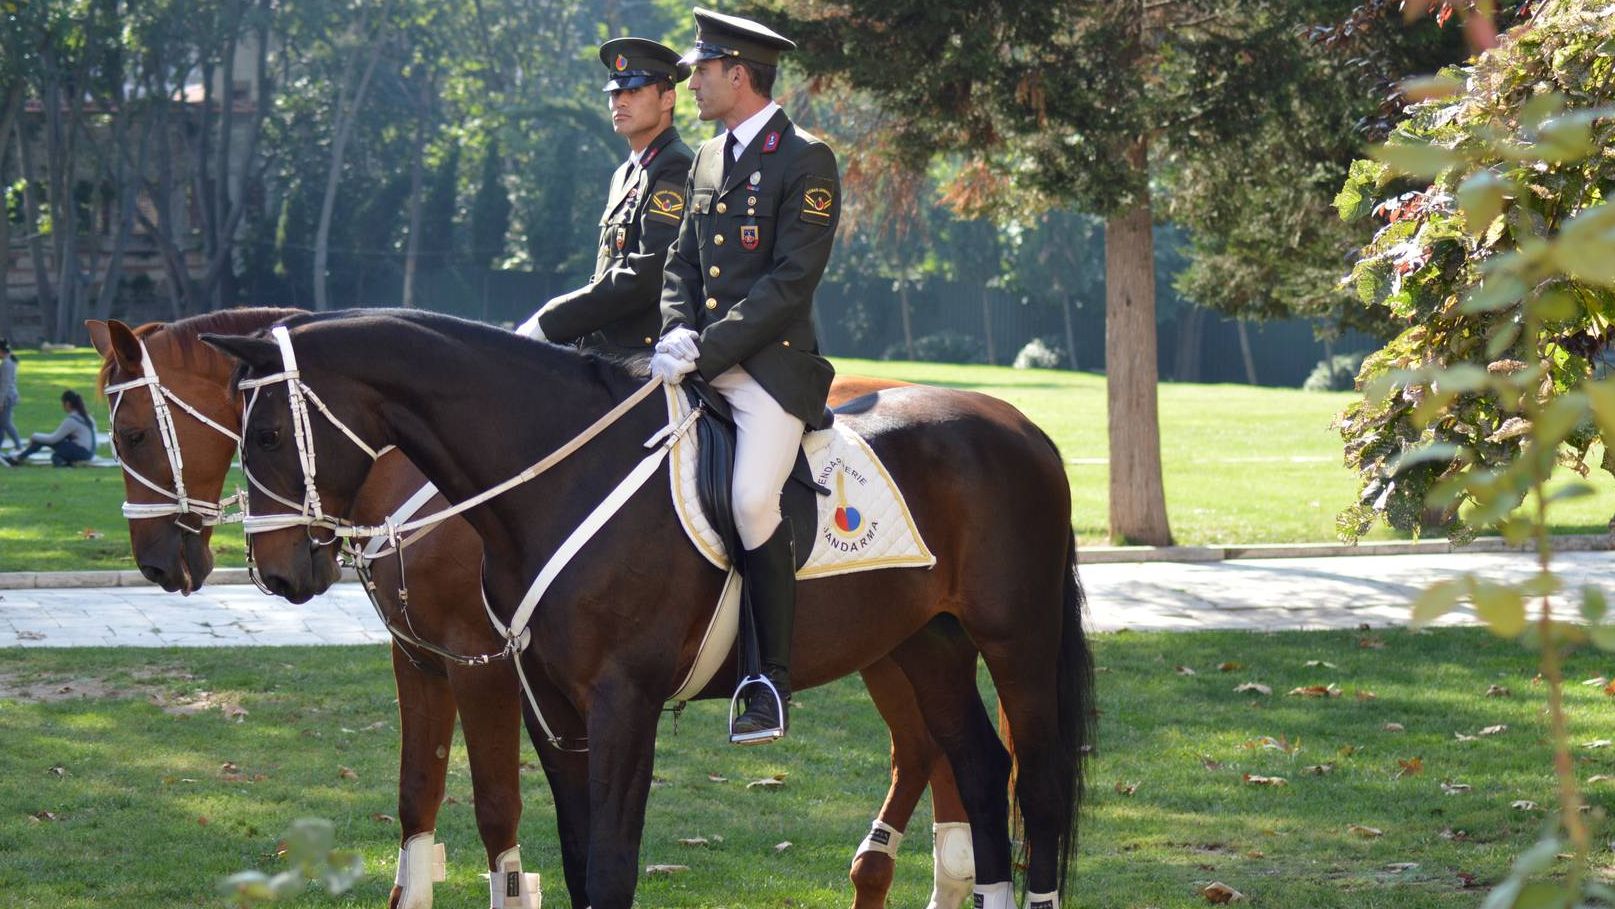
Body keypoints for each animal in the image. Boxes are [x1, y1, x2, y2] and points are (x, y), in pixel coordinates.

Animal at [195, 311, 1091, 909]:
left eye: (267, 434)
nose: (276, 573)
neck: (554, 478)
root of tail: (1020, 425)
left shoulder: (621, 701)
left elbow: (611, 865)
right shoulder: (549, 705)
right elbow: (575, 854)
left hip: (1015, 640)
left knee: (1039, 786)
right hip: (925, 643)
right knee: (981, 772)